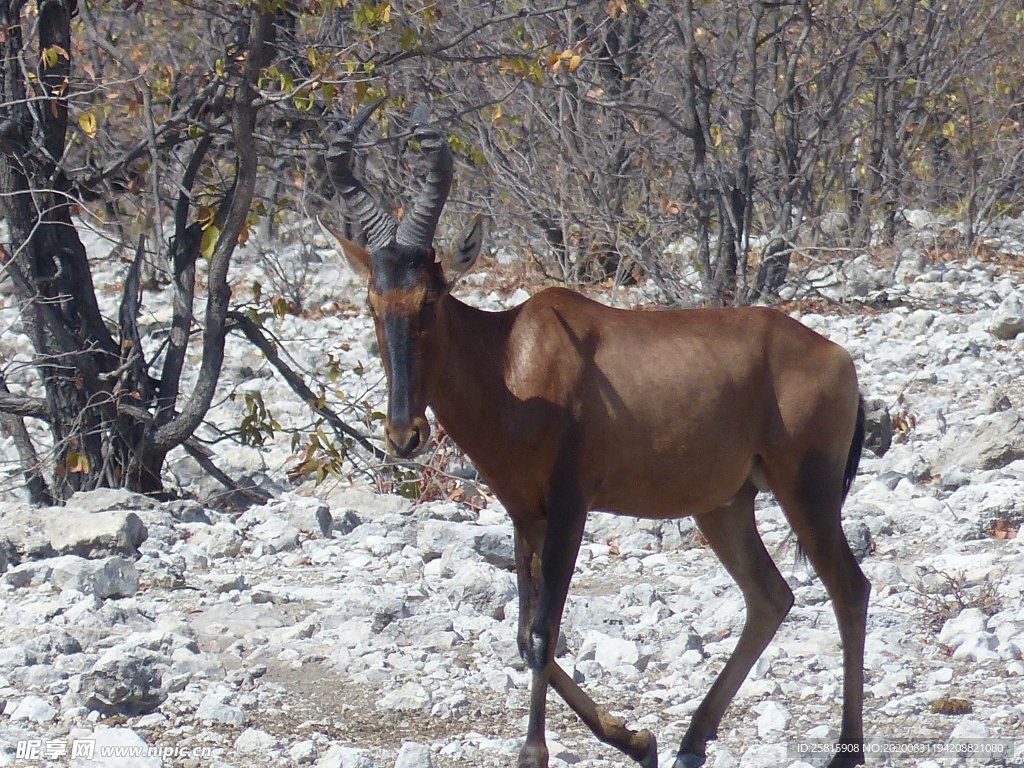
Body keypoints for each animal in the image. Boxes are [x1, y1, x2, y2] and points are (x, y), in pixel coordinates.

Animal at [321, 97, 872, 768]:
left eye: (431, 296)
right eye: (373, 302)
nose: (404, 436)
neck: (512, 356)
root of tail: (836, 356)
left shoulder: (570, 505)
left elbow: (542, 629)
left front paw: (535, 752)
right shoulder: (524, 515)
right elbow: (524, 632)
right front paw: (636, 739)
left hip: (806, 493)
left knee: (849, 589)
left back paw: (845, 751)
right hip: (725, 506)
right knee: (771, 597)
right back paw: (690, 742)